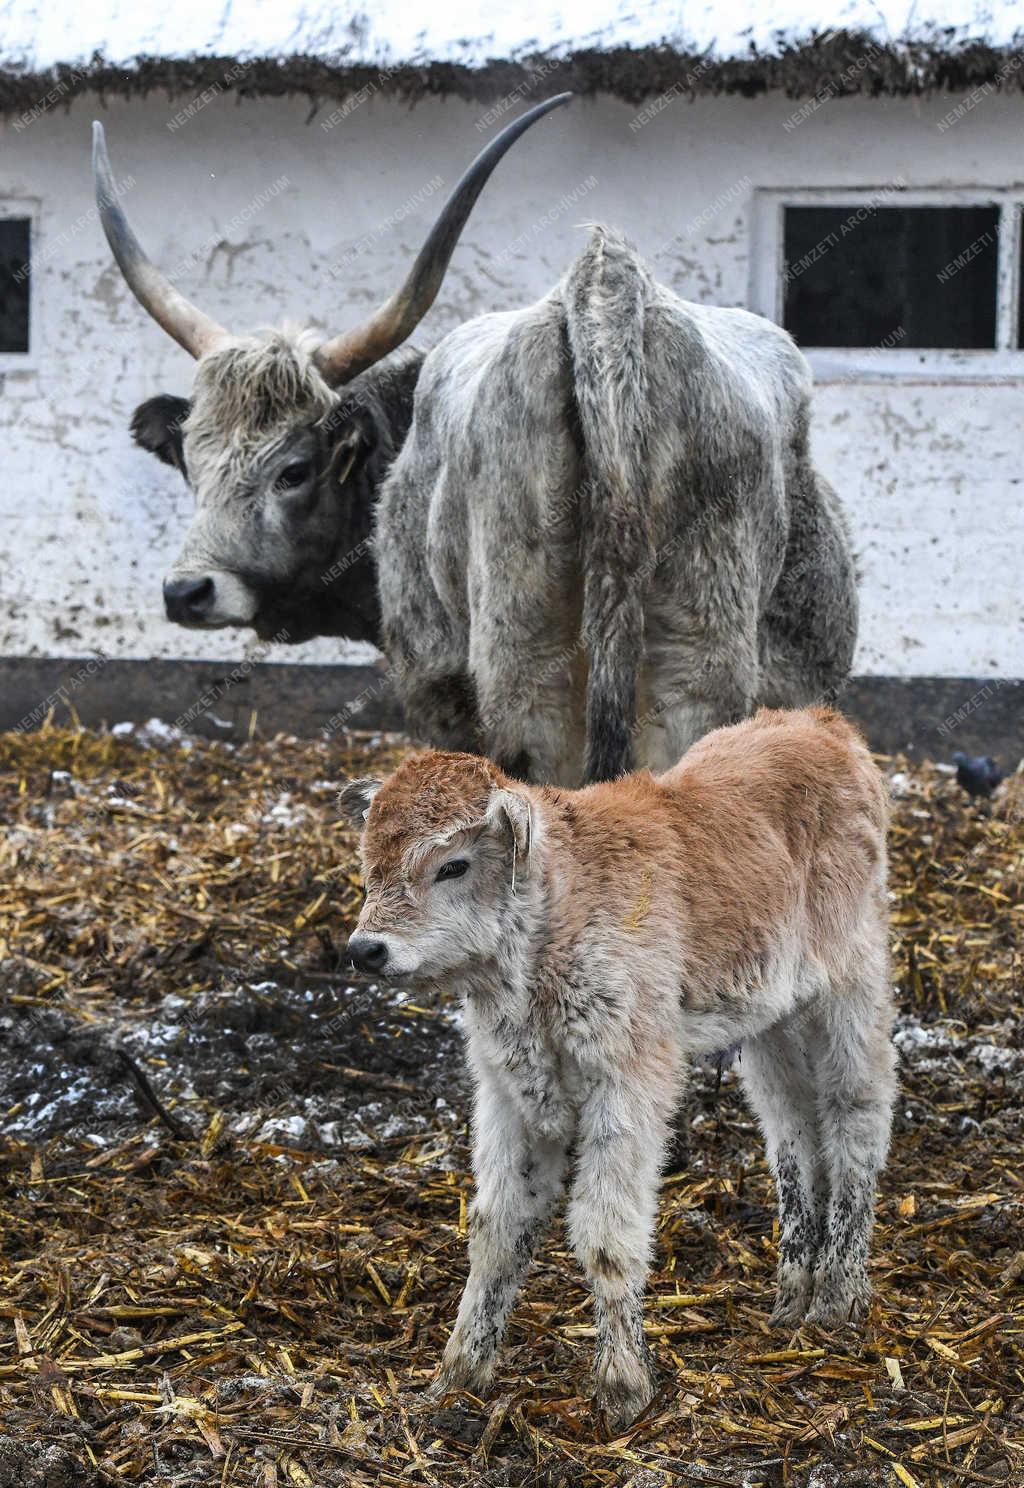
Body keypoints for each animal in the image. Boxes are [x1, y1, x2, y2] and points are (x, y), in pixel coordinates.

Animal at [96, 100, 857, 785]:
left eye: (294, 469)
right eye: (191, 465)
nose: (187, 592)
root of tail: (603, 295)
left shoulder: (435, 680)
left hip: (531, 679)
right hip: (695, 673)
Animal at [339, 708, 893, 1428]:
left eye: (453, 864)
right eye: (369, 864)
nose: (366, 949)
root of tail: (822, 724)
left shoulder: (628, 1083)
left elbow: (606, 1234)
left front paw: (623, 1388)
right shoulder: (509, 1094)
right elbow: (497, 1228)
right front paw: (457, 1376)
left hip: (852, 990)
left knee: (857, 1115)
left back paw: (837, 1298)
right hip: (771, 1021)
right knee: (794, 1131)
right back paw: (792, 1292)